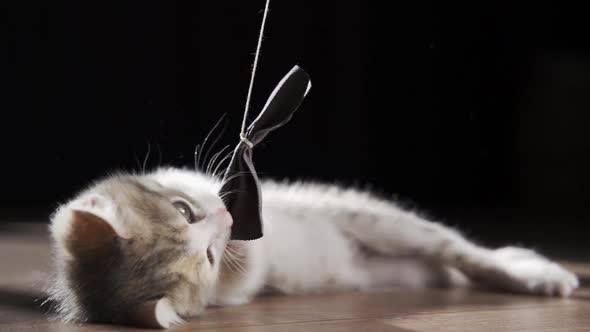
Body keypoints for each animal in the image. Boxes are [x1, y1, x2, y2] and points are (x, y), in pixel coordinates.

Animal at [47, 167, 584, 328]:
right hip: (401, 264)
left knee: (460, 248)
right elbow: (249, 274)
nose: (226, 220)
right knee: (453, 261)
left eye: (183, 209)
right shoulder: (235, 287)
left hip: (377, 220)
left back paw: (532, 270)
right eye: (208, 259)